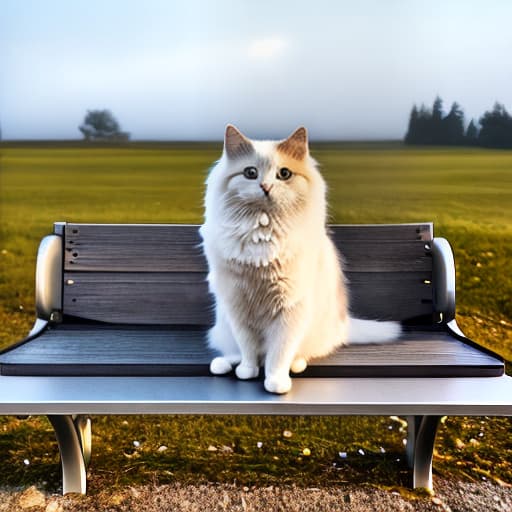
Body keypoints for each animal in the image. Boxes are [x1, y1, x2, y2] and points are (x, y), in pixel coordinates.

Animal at [198, 126, 402, 394]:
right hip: (223, 325)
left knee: (303, 353)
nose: (266, 186)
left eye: (284, 174)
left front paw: (276, 382)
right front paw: (247, 371)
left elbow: (279, 353)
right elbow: (248, 348)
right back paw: (224, 364)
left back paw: (296, 365)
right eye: (250, 173)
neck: (263, 237)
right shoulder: (239, 308)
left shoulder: (290, 309)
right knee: (233, 350)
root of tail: (342, 326)